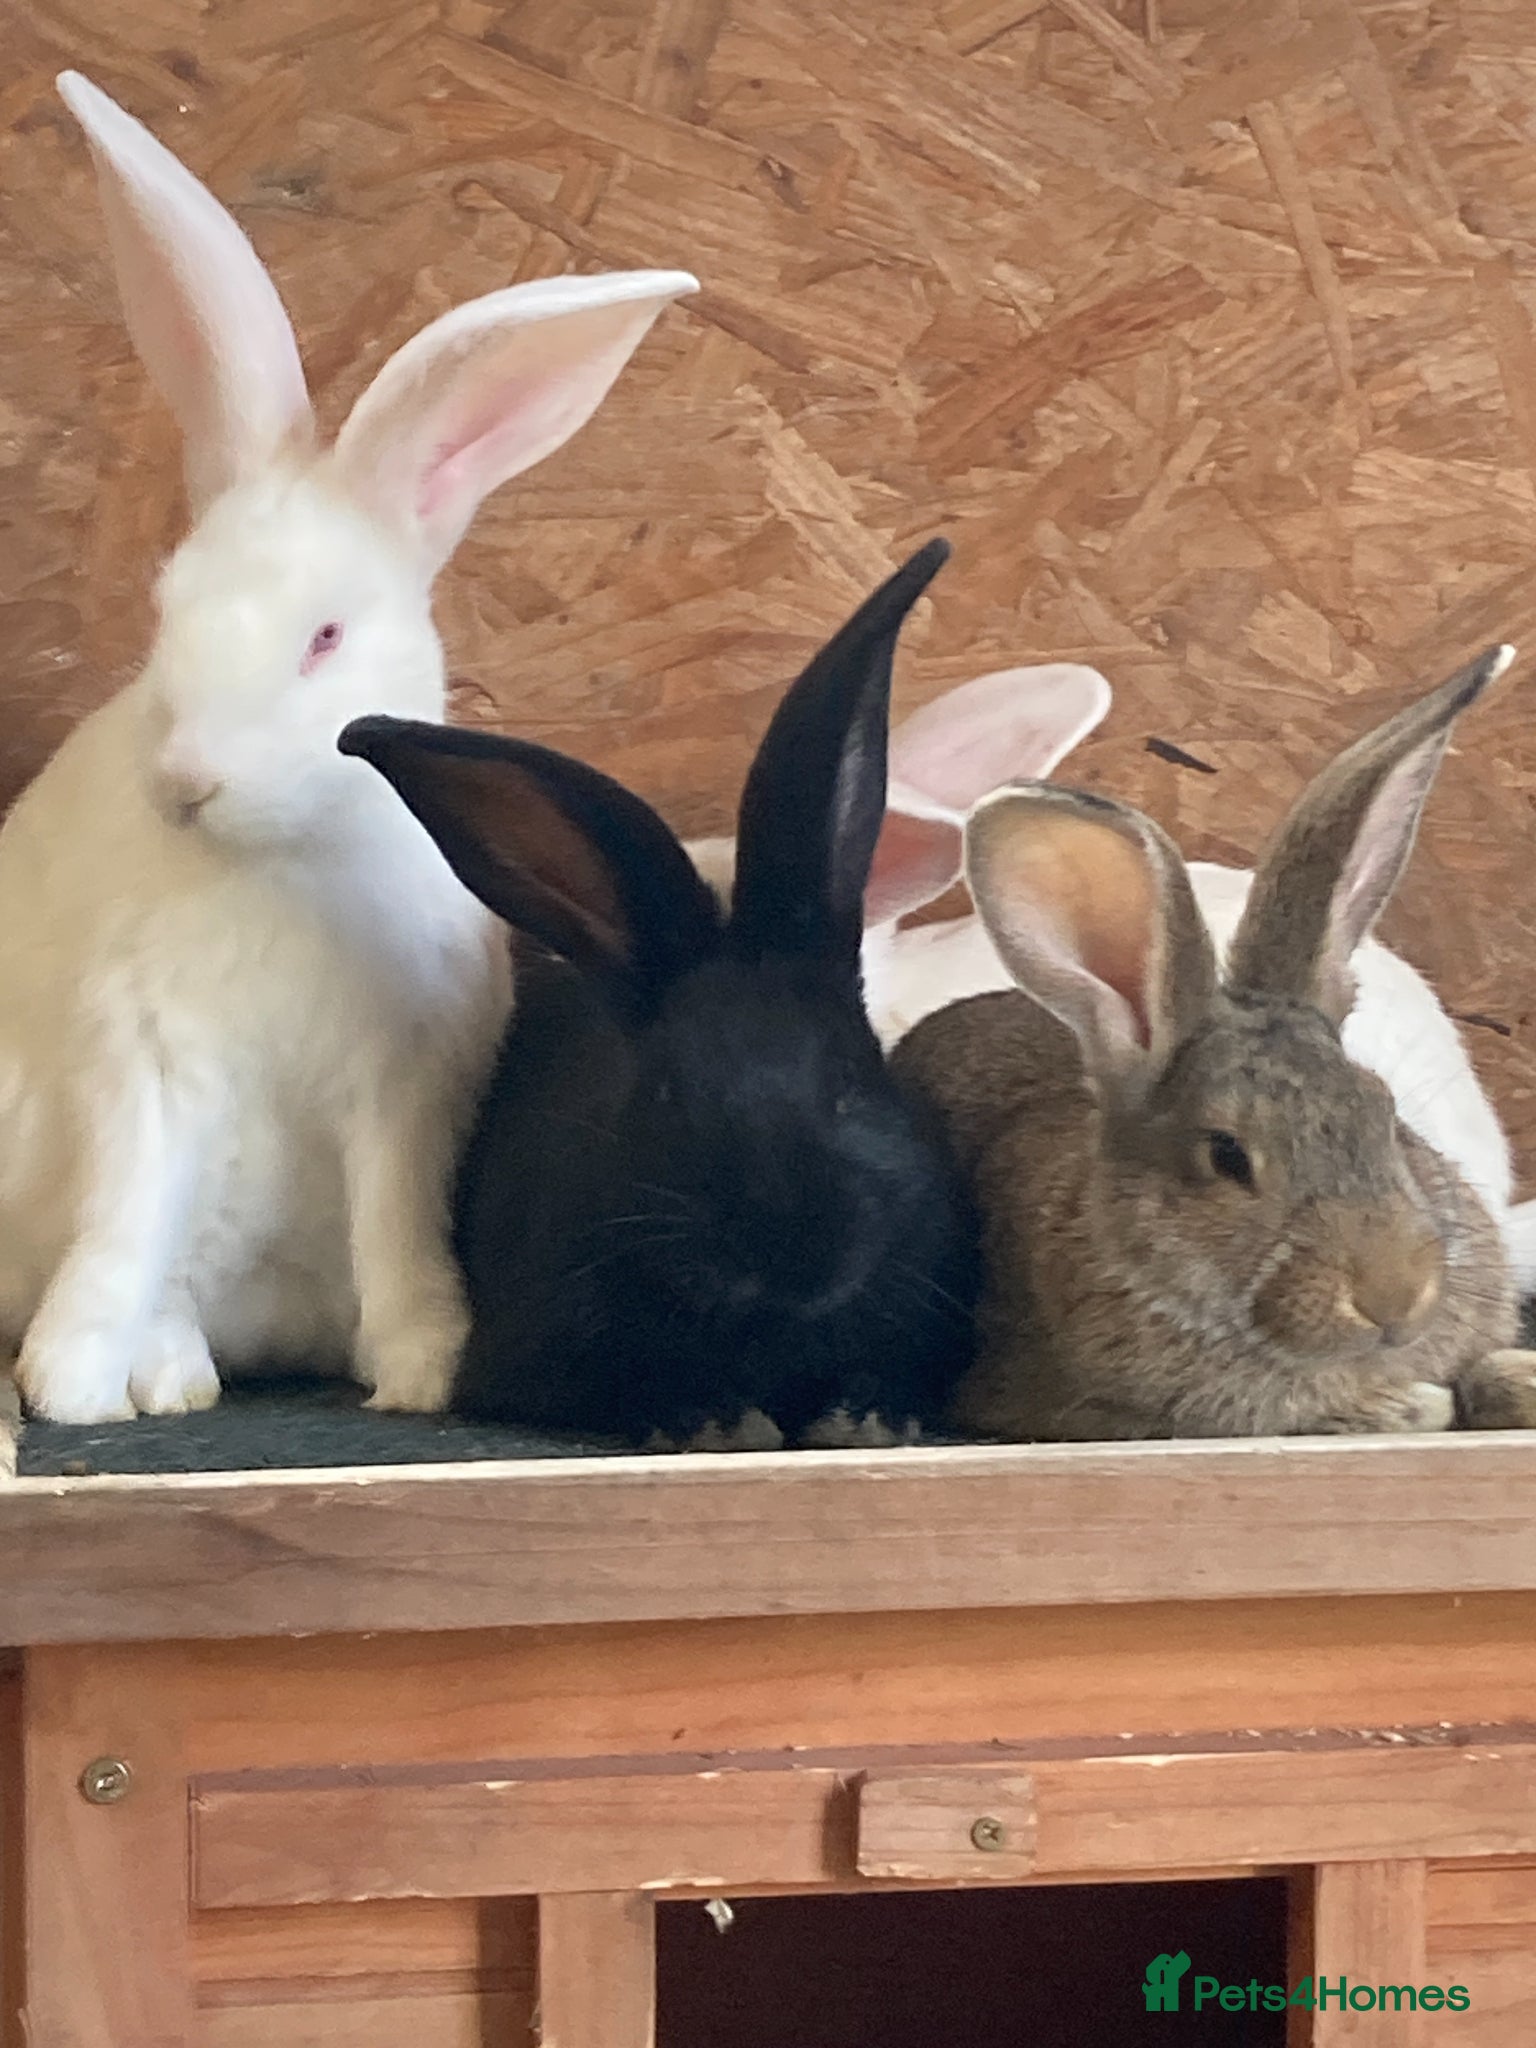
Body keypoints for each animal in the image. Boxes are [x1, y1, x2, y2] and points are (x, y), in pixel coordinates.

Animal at [3, 73, 696, 1423]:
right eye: (163, 610)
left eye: (324, 636)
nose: (186, 783)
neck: (280, 859)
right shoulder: (143, 1063)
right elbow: (126, 1225)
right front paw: (69, 1388)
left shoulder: (404, 1083)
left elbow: (395, 1224)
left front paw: (426, 1369)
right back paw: (169, 1379)